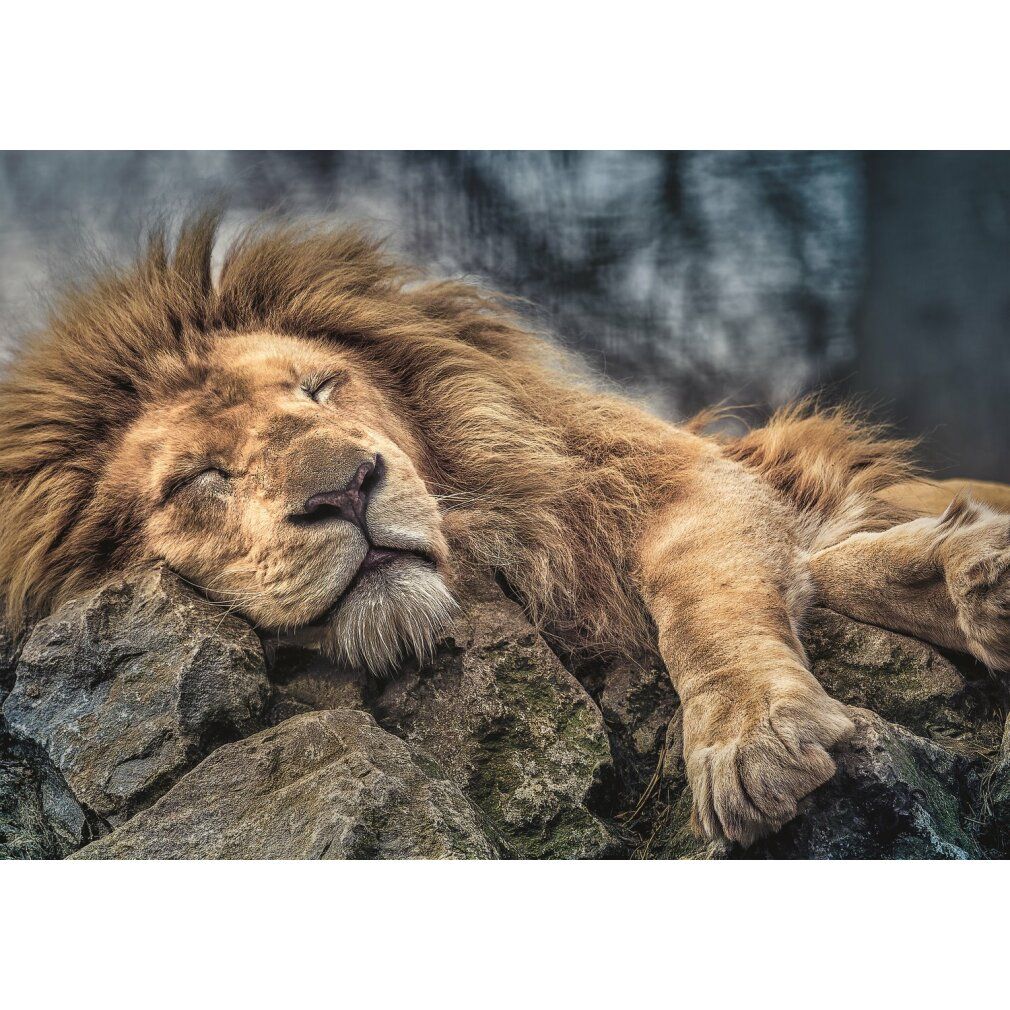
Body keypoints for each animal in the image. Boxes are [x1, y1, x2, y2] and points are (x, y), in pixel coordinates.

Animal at [1, 214, 1009, 847]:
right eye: (200, 479)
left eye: (320, 388)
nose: (348, 488)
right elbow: (828, 564)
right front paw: (961, 572)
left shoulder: (676, 478)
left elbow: (706, 593)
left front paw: (752, 737)